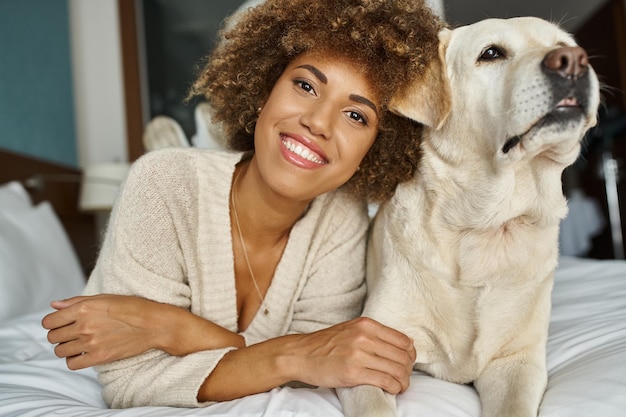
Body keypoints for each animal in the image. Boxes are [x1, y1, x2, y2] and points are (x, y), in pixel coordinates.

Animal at [336, 16, 600, 416]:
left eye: (563, 44)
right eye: (491, 53)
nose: (572, 60)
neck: (485, 227)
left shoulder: (517, 360)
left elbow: (513, 407)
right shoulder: (372, 351)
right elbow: (375, 407)